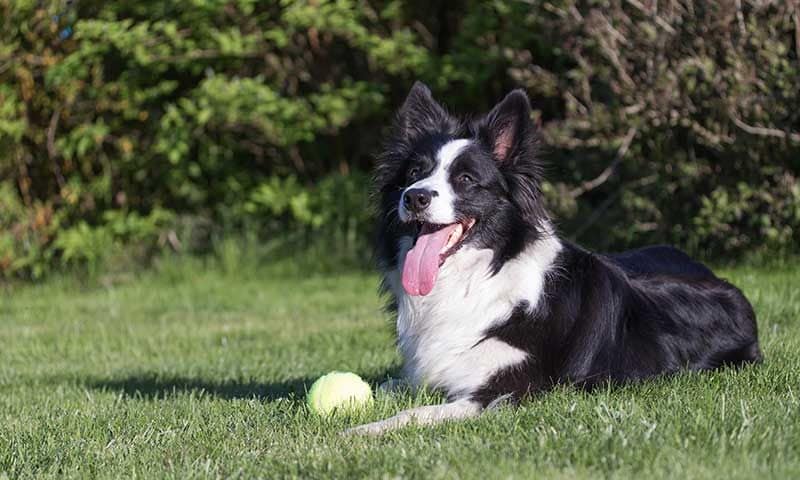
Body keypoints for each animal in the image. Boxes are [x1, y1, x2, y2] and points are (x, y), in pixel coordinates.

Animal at [346, 82, 764, 436]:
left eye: (465, 180)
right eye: (414, 173)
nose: (414, 196)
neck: (478, 276)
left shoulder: (508, 391)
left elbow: (414, 413)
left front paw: (358, 432)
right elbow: (383, 384)